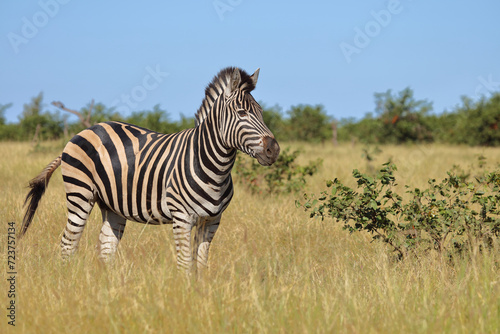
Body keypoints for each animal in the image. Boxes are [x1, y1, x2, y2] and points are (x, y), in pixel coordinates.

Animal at [21, 66, 280, 272]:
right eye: (242, 113)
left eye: (261, 112)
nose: (274, 150)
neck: (213, 167)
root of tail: (84, 130)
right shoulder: (182, 217)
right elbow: (185, 264)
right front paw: (187, 297)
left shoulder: (213, 220)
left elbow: (201, 263)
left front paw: (202, 294)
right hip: (80, 193)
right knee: (68, 243)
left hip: (111, 205)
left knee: (105, 248)